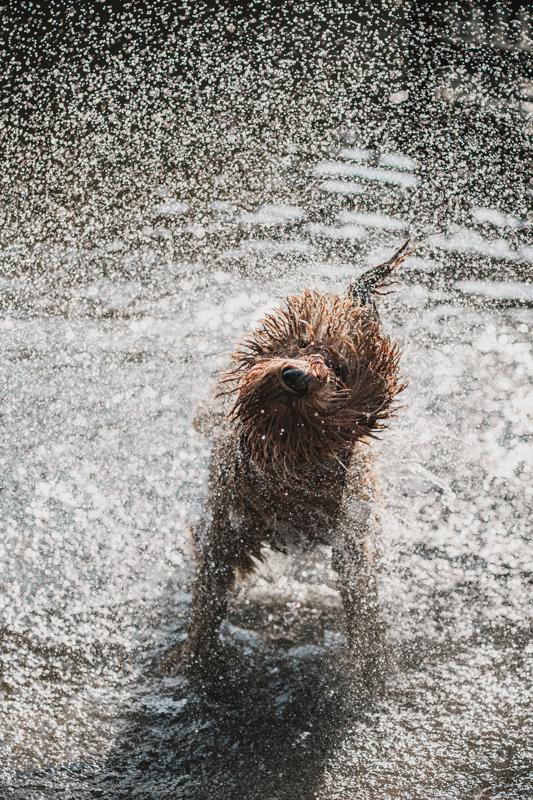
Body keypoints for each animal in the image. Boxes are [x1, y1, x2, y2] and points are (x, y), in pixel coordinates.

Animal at [182, 241, 408, 684]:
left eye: (339, 367)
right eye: (302, 343)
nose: (295, 377)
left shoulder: (349, 530)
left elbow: (360, 595)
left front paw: (368, 666)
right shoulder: (230, 520)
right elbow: (211, 587)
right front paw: (199, 659)